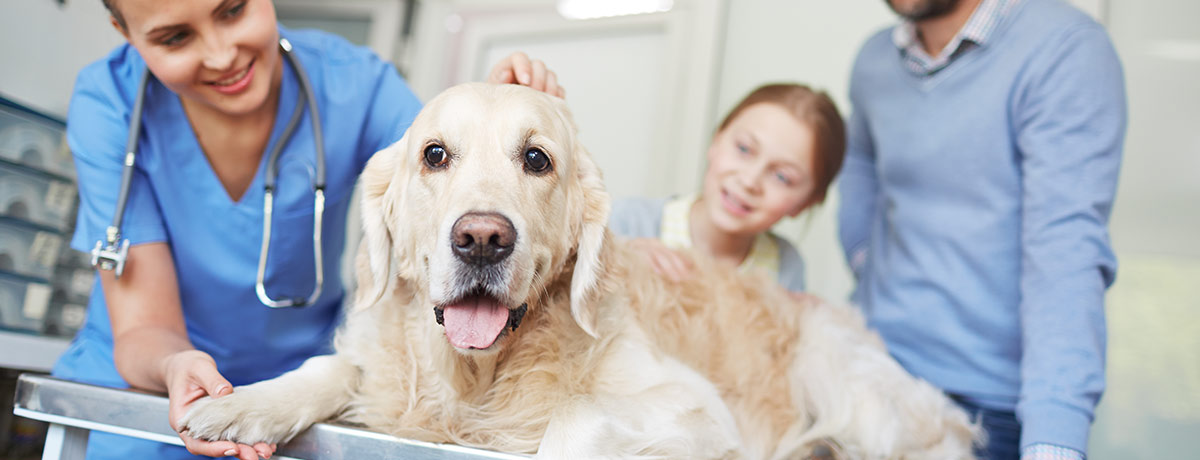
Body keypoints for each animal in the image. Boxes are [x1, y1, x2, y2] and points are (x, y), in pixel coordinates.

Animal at [182, 84, 979, 460]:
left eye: (537, 159)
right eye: (434, 154)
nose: (481, 240)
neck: (481, 376)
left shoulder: (695, 409)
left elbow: (575, 416)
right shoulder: (387, 369)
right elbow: (328, 369)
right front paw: (240, 402)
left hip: (834, 367)